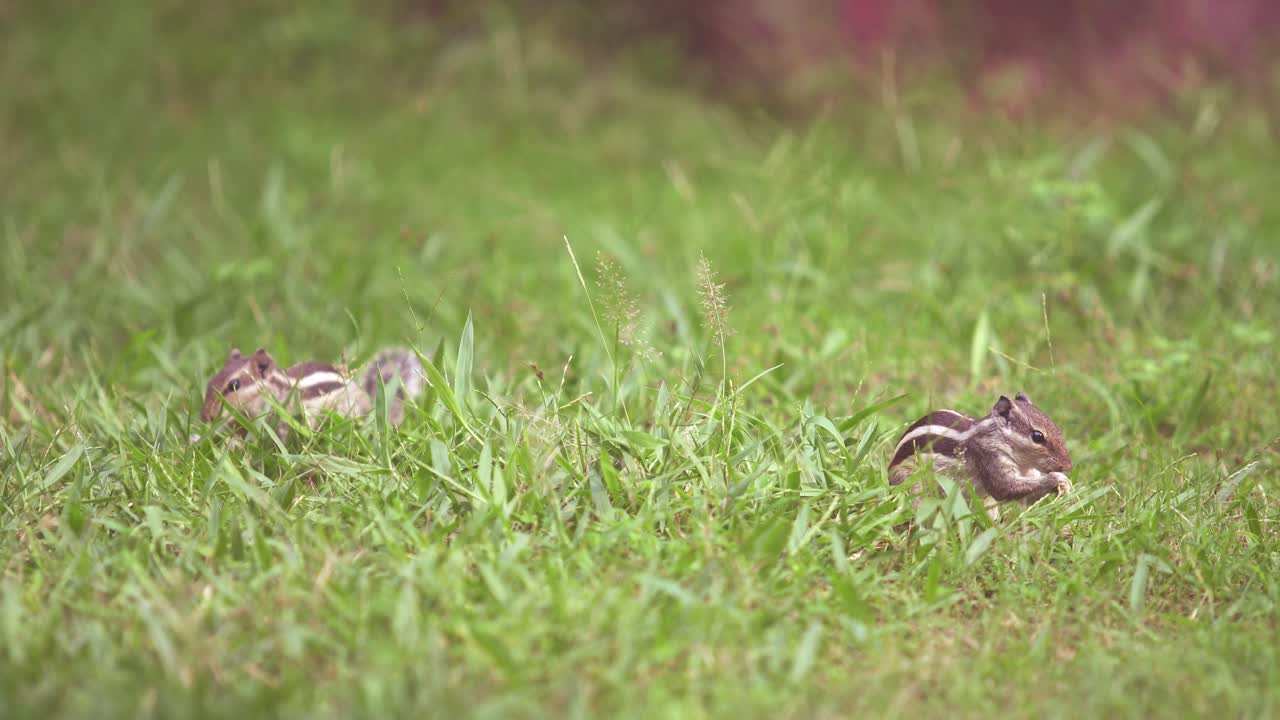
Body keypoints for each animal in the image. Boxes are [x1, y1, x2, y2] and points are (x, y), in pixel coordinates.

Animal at [888, 392, 1073, 511]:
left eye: (1057, 428)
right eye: (1037, 436)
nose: (1068, 466)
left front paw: (1064, 486)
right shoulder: (989, 456)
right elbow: (1005, 487)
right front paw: (1057, 479)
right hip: (911, 483)